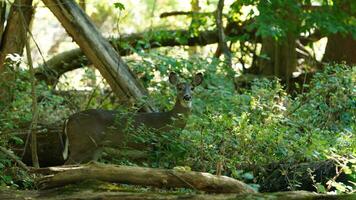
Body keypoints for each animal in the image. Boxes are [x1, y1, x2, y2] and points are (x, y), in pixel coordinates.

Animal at [62, 72, 203, 164]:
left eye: (192, 88)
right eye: (179, 88)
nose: (187, 97)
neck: (168, 120)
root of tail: (69, 119)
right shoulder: (155, 143)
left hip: (96, 147)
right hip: (81, 142)